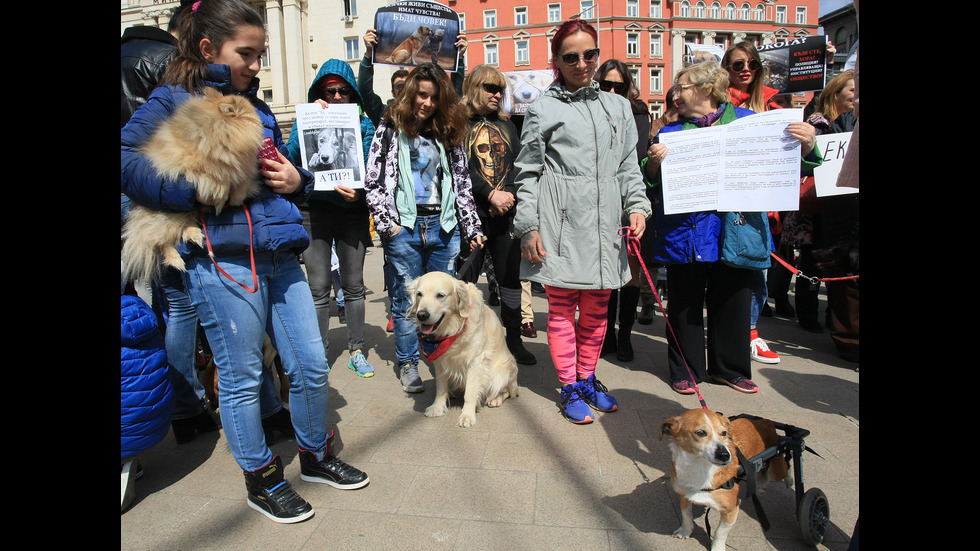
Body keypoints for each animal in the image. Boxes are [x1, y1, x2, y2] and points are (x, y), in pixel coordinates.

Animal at [121, 88, 266, 284]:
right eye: (249, 111)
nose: (259, 111)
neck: (221, 128)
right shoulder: (198, 162)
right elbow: (212, 176)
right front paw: (219, 195)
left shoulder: (244, 168)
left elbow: (242, 182)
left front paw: (235, 198)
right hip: (167, 215)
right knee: (159, 241)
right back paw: (177, 260)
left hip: (185, 214)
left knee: (184, 226)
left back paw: (195, 235)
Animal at [408, 272, 520, 426]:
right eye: (419, 294)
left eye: (440, 295)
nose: (422, 315)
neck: (453, 329)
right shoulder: (440, 360)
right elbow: (441, 388)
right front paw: (437, 407)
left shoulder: (475, 362)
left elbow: (470, 392)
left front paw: (467, 415)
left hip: (502, 371)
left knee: (509, 391)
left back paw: (496, 399)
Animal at [664, 410, 792, 551]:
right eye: (701, 432)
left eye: (724, 433)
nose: (725, 455)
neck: (699, 468)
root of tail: (765, 421)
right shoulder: (683, 495)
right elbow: (686, 515)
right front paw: (685, 531)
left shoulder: (732, 509)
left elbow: (720, 532)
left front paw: (717, 548)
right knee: (763, 468)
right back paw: (762, 484)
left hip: (778, 467)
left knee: (785, 466)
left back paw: (789, 480)